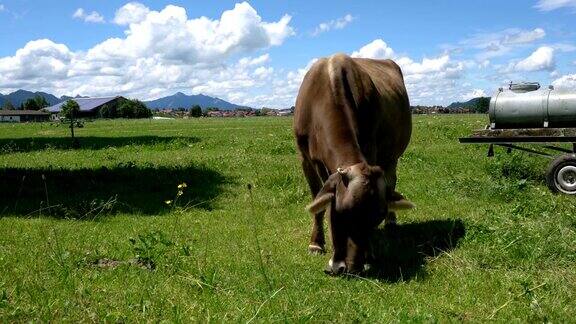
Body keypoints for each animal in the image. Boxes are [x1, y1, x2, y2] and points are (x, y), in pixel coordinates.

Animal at [292, 52, 414, 274]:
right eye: (340, 213)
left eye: (376, 218)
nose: (353, 266)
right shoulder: (305, 157)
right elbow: (317, 199)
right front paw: (316, 243)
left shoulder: (371, 147)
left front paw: (371, 253)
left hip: (392, 155)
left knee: (392, 181)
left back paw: (392, 221)